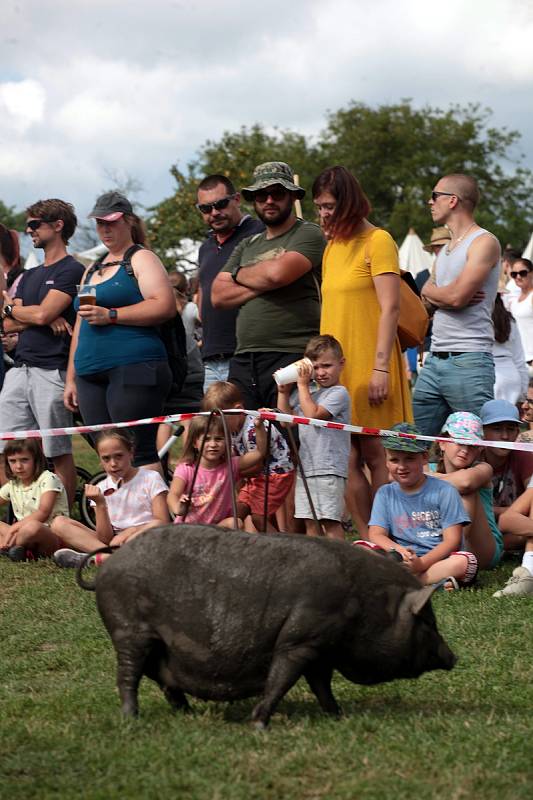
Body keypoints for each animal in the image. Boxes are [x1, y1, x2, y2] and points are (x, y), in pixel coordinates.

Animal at [87, 528, 454, 728]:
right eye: (427, 621)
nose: (454, 657)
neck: (365, 603)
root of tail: (107, 568)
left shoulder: (321, 650)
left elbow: (321, 687)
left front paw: (339, 716)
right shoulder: (300, 640)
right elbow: (281, 679)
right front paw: (259, 725)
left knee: (165, 681)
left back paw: (188, 715)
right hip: (129, 630)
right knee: (128, 676)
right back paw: (131, 719)